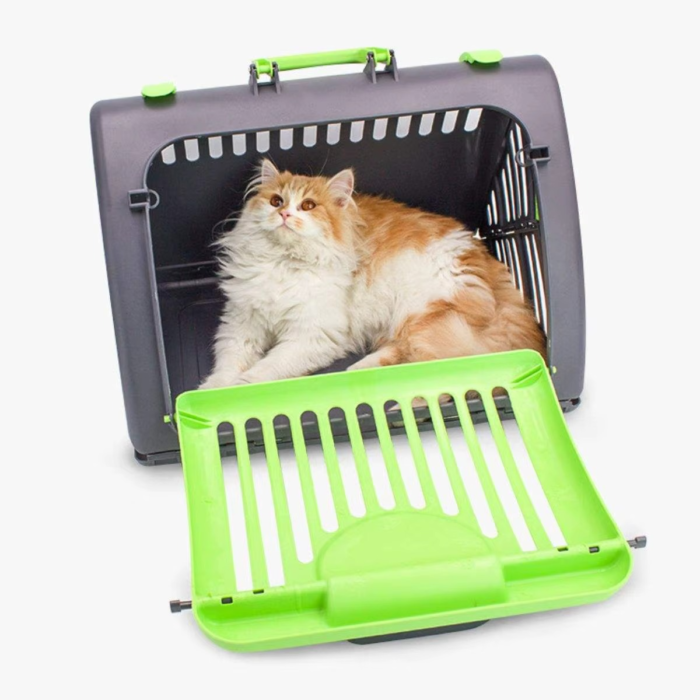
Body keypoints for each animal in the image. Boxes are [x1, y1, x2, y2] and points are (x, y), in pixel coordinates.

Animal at [200, 159, 544, 389]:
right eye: (275, 201)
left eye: (308, 206)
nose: (284, 214)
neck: (283, 262)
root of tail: (482, 253)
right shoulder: (241, 323)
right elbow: (229, 361)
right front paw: (213, 389)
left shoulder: (313, 335)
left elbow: (267, 366)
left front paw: (242, 386)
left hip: (419, 312)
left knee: (423, 357)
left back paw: (362, 372)